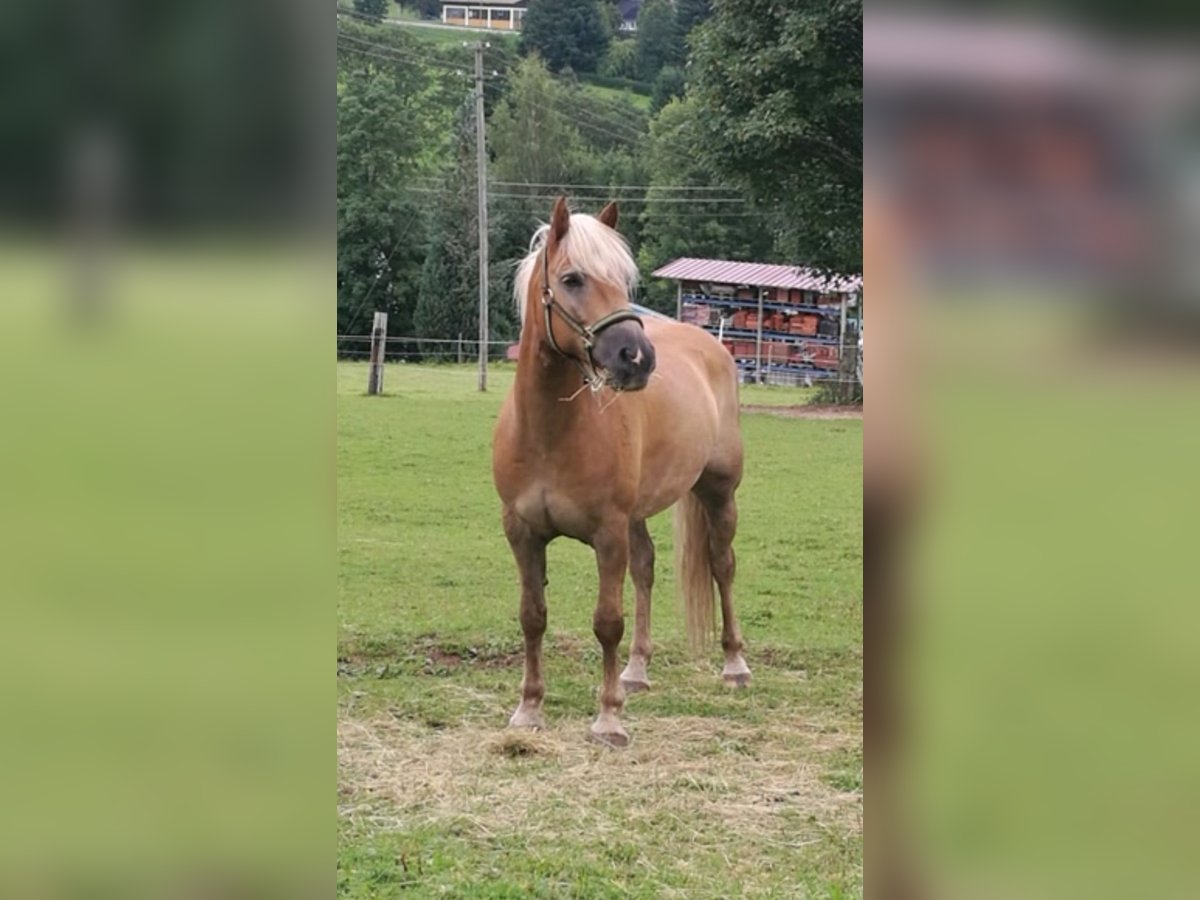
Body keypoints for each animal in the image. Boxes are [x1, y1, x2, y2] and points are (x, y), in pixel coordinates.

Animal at [492, 196, 744, 748]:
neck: (549, 433)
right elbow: (532, 617)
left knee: (722, 566)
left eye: (624, 279)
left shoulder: (607, 533)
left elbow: (607, 621)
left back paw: (735, 664)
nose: (637, 358)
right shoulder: (522, 533)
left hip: (719, 494)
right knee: (645, 568)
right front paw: (529, 708)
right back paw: (636, 671)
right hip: (637, 515)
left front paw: (608, 718)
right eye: (572, 279)